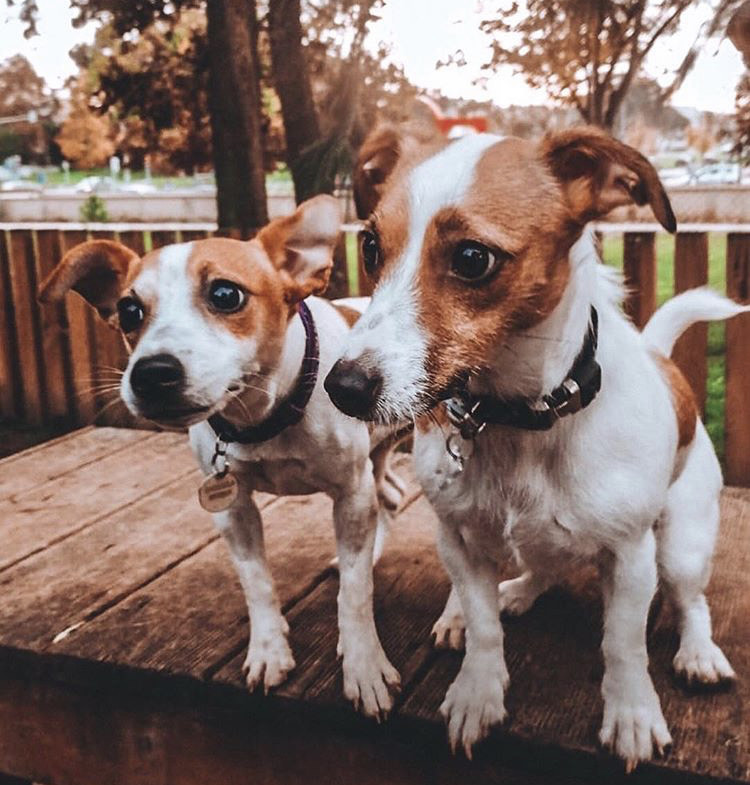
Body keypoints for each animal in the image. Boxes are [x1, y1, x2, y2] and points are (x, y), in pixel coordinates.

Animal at [39, 194, 406, 716]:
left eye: (226, 295)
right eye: (129, 311)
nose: (150, 373)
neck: (265, 415)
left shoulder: (350, 495)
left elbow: (354, 595)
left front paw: (363, 665)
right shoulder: (234, 510)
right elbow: (256, 582)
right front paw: (269, 649)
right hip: (376, 461)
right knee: (391, 494)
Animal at [328, 125, 748, 768]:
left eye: (472, 258)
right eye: (371, 247)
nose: (341, 387)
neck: (515, 420)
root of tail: (664, 361)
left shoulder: (631, 558)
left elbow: (623, 645)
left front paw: (631, 713)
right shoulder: (459, 541)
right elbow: (483, 629)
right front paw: (478, 693)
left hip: (682, 542)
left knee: (690, 601)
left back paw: (698, 653)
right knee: (542, 569)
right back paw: (515, 593)